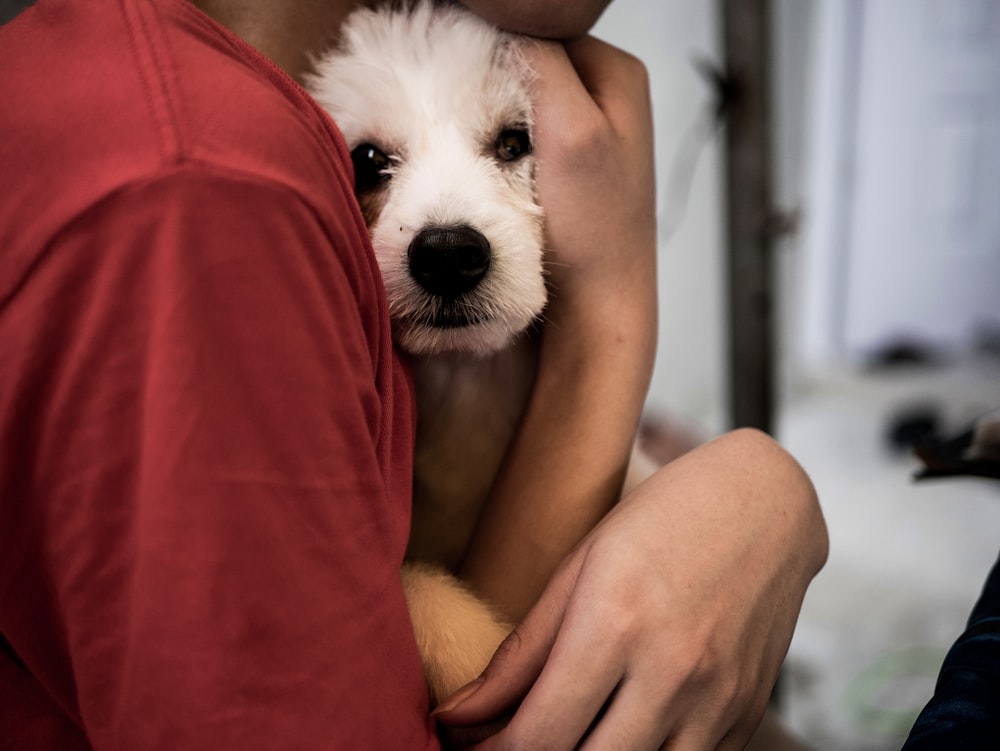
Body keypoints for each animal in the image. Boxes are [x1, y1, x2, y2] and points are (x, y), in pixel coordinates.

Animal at [310, 0, 548, 704]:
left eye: (513, 143)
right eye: (367, 159)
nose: (446, 256)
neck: (463, 383)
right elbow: (410, 582)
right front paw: (479, 654)